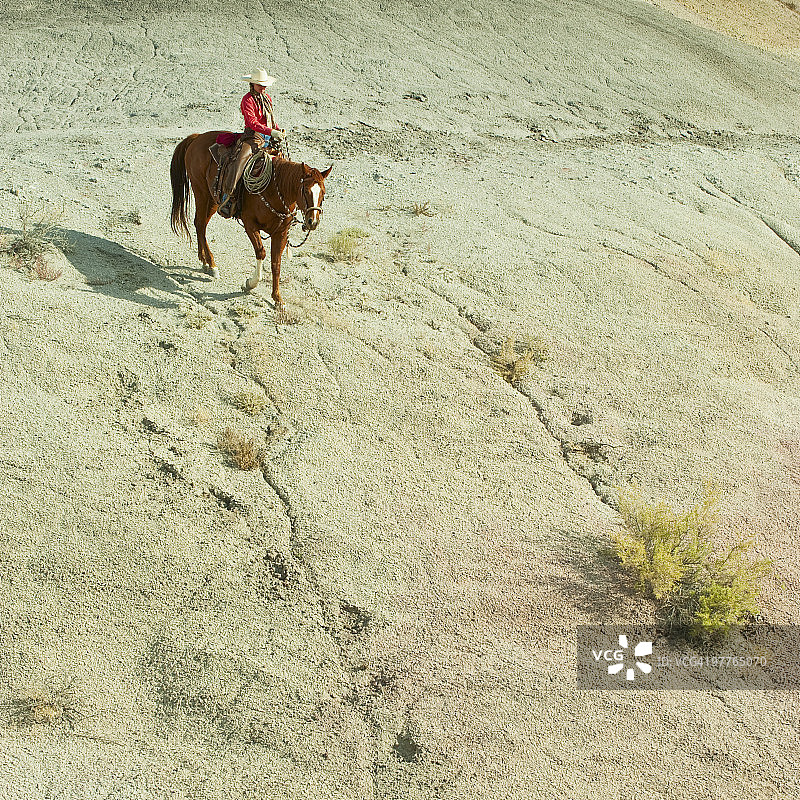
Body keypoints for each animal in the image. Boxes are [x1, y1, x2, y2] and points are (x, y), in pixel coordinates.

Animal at [170, 131, 331, 308]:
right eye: (305, 190)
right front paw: (250, 284)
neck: (275, 190)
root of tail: (197, 136)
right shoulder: (250, 224)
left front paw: (278, 299)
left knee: (202, 225)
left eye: (323, 192)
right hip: (201, 192)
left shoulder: (281, 233)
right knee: (199, 223)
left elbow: (276, 263)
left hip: (214, 199)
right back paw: (211, 264)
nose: (312, 222)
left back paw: (205, 261)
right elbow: (261, 252)